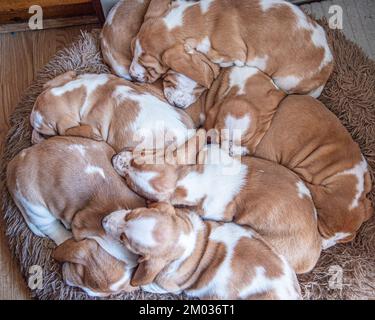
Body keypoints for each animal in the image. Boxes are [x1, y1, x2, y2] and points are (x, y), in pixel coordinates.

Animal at [103, 202, 302, 300]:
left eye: (124, 239)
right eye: (130, 214)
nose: (103, 221)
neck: (189, 241)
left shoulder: (168, 285)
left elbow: (150, 283)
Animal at [131, 0, 334, 109]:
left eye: (150, 67)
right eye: (132, 47)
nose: (131, 75)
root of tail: (329, 68)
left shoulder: (235, 54)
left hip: (286, 79)